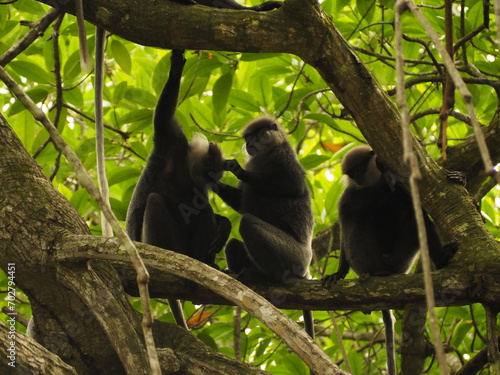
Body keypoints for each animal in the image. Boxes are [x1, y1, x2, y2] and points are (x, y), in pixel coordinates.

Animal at [127, 49, 232, 328]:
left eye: (214, 172)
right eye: (208, 164)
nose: (209, 175)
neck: (184, 170)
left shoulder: (200, 187)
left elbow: (201, 206)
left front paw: (225, 225)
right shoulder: (169, 142)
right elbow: (162, 116)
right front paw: (176, 66)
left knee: (203, 212)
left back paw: (206, 264)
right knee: (155, 201)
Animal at [214, 117, 314, 344]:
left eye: (256, 135)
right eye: (247, 138)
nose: (250, 143)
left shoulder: (284, 157)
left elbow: (293, 186)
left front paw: (237, 169)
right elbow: (240, 202)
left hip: (295, 256)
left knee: (248, 223)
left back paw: (269, 277)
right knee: (233, 244)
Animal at [322, 145, 458, 375]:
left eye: (359, 168)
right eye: (351, 173)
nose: (357, 178)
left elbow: (414, 203)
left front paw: (458, 178)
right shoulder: (349, 195)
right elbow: (346, 222)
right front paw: (339, 273)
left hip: (402, 260)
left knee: (416, 217)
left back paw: (441, 259)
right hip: (365, 259)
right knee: (353, 217)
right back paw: (375, 272)